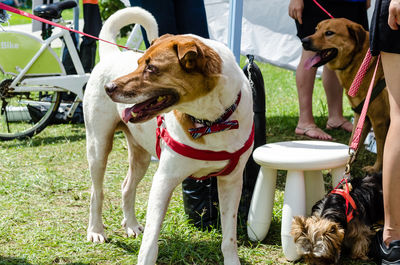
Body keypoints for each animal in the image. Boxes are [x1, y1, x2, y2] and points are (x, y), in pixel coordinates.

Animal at [83, 6, 255, 264]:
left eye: (151, 68)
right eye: (138, 63)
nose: (109, 88)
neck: (210, 121)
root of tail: (111, 55)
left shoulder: (231, 182)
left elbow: (229, 237)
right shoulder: (163, 180)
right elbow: (150, 242)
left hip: (141, 156)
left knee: (126, 186)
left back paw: (131, 225)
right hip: (98, 147)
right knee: (97, 192)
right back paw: (95, 230)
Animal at [302, 17, 390, 172]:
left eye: (329, 33)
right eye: (316, 29)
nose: (303, 41)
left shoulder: (380, 120)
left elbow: (382, 150)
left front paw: (375, 169)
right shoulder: (362, 116)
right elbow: (353, 143)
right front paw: (345, 165)